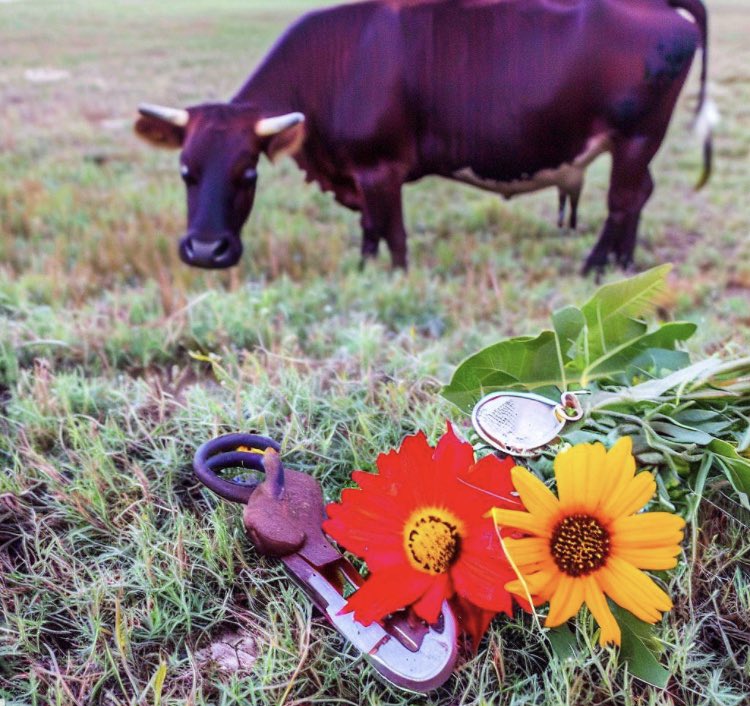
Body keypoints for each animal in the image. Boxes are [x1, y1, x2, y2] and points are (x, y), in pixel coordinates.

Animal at [135, 0, 714, 273]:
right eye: (185, 172)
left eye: (248, 171)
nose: (205, 251)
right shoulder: (359, 173)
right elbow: (370, 229)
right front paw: (364, 270)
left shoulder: (379, 170)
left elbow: (392, 233)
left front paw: (393, 276)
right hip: (639, 146)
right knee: (639, 196)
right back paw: (624, 264)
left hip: (636, 138)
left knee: (623, 200)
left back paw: (596, 266)